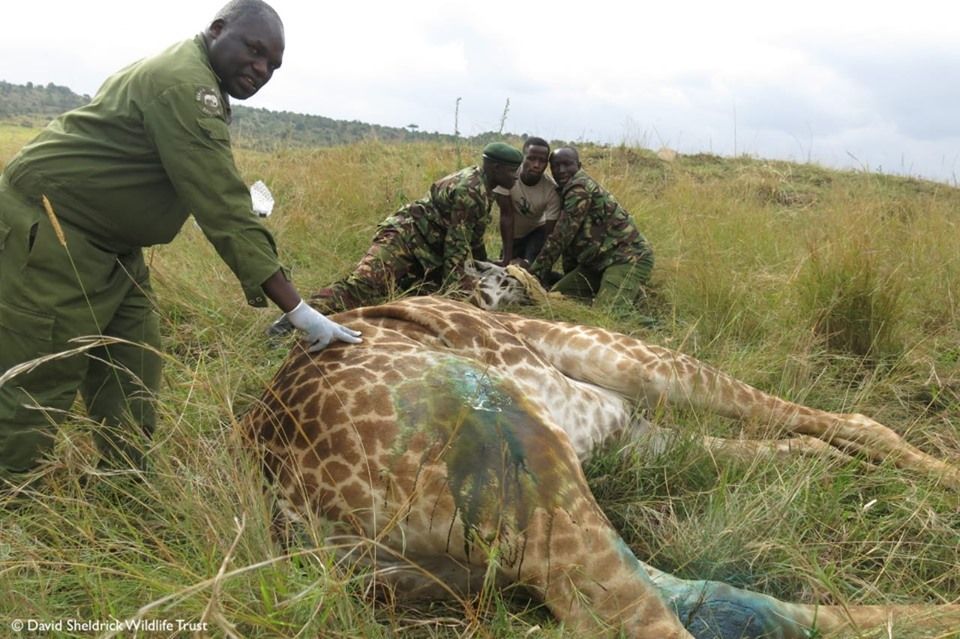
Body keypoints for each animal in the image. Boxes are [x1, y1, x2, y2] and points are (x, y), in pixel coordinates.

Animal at [242, 295, 960, 638]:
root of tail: (289, 503)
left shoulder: (629, 429)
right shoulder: (632, 370)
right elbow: (852, 425)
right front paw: (943, 477)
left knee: (731, 599)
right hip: (531, 464)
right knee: (663, 620)